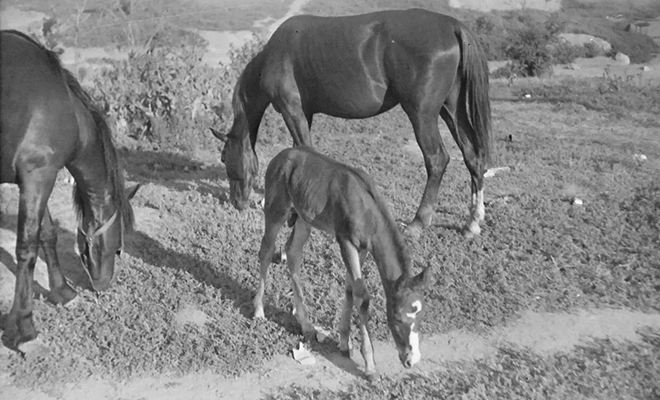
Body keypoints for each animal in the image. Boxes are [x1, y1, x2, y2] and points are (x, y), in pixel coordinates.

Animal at [0, 30, 139, 350]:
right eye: (118, 248)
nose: (103, 284)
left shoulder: (39, 176)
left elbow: (48, 234)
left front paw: (62, 291)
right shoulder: (37, 176)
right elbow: (27, 248)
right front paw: (24, 327)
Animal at [211, 7, 490, 238]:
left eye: (224, 158)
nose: (235, 202)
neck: (274, 55)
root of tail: (453, 25)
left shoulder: (291, 110)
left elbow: (303, 150)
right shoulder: (304, 113)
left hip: (422, 114)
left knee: (437, 159)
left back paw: (417, 223)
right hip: (450, 109)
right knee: (472, 155)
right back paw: (472, 223)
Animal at [254, 146, 434, 382]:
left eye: (421, 315)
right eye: (397, 317)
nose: (411, 360)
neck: (367, 210)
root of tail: (280, 156)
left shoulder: (363, 248)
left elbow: (350, 289)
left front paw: (343, 343)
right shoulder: (346, 241)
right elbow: (362, 297)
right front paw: (370, 366)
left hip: (303, 217)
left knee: (293, 253)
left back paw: (307, 326)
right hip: (277, 208)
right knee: (266, 250)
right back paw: (258, 310)